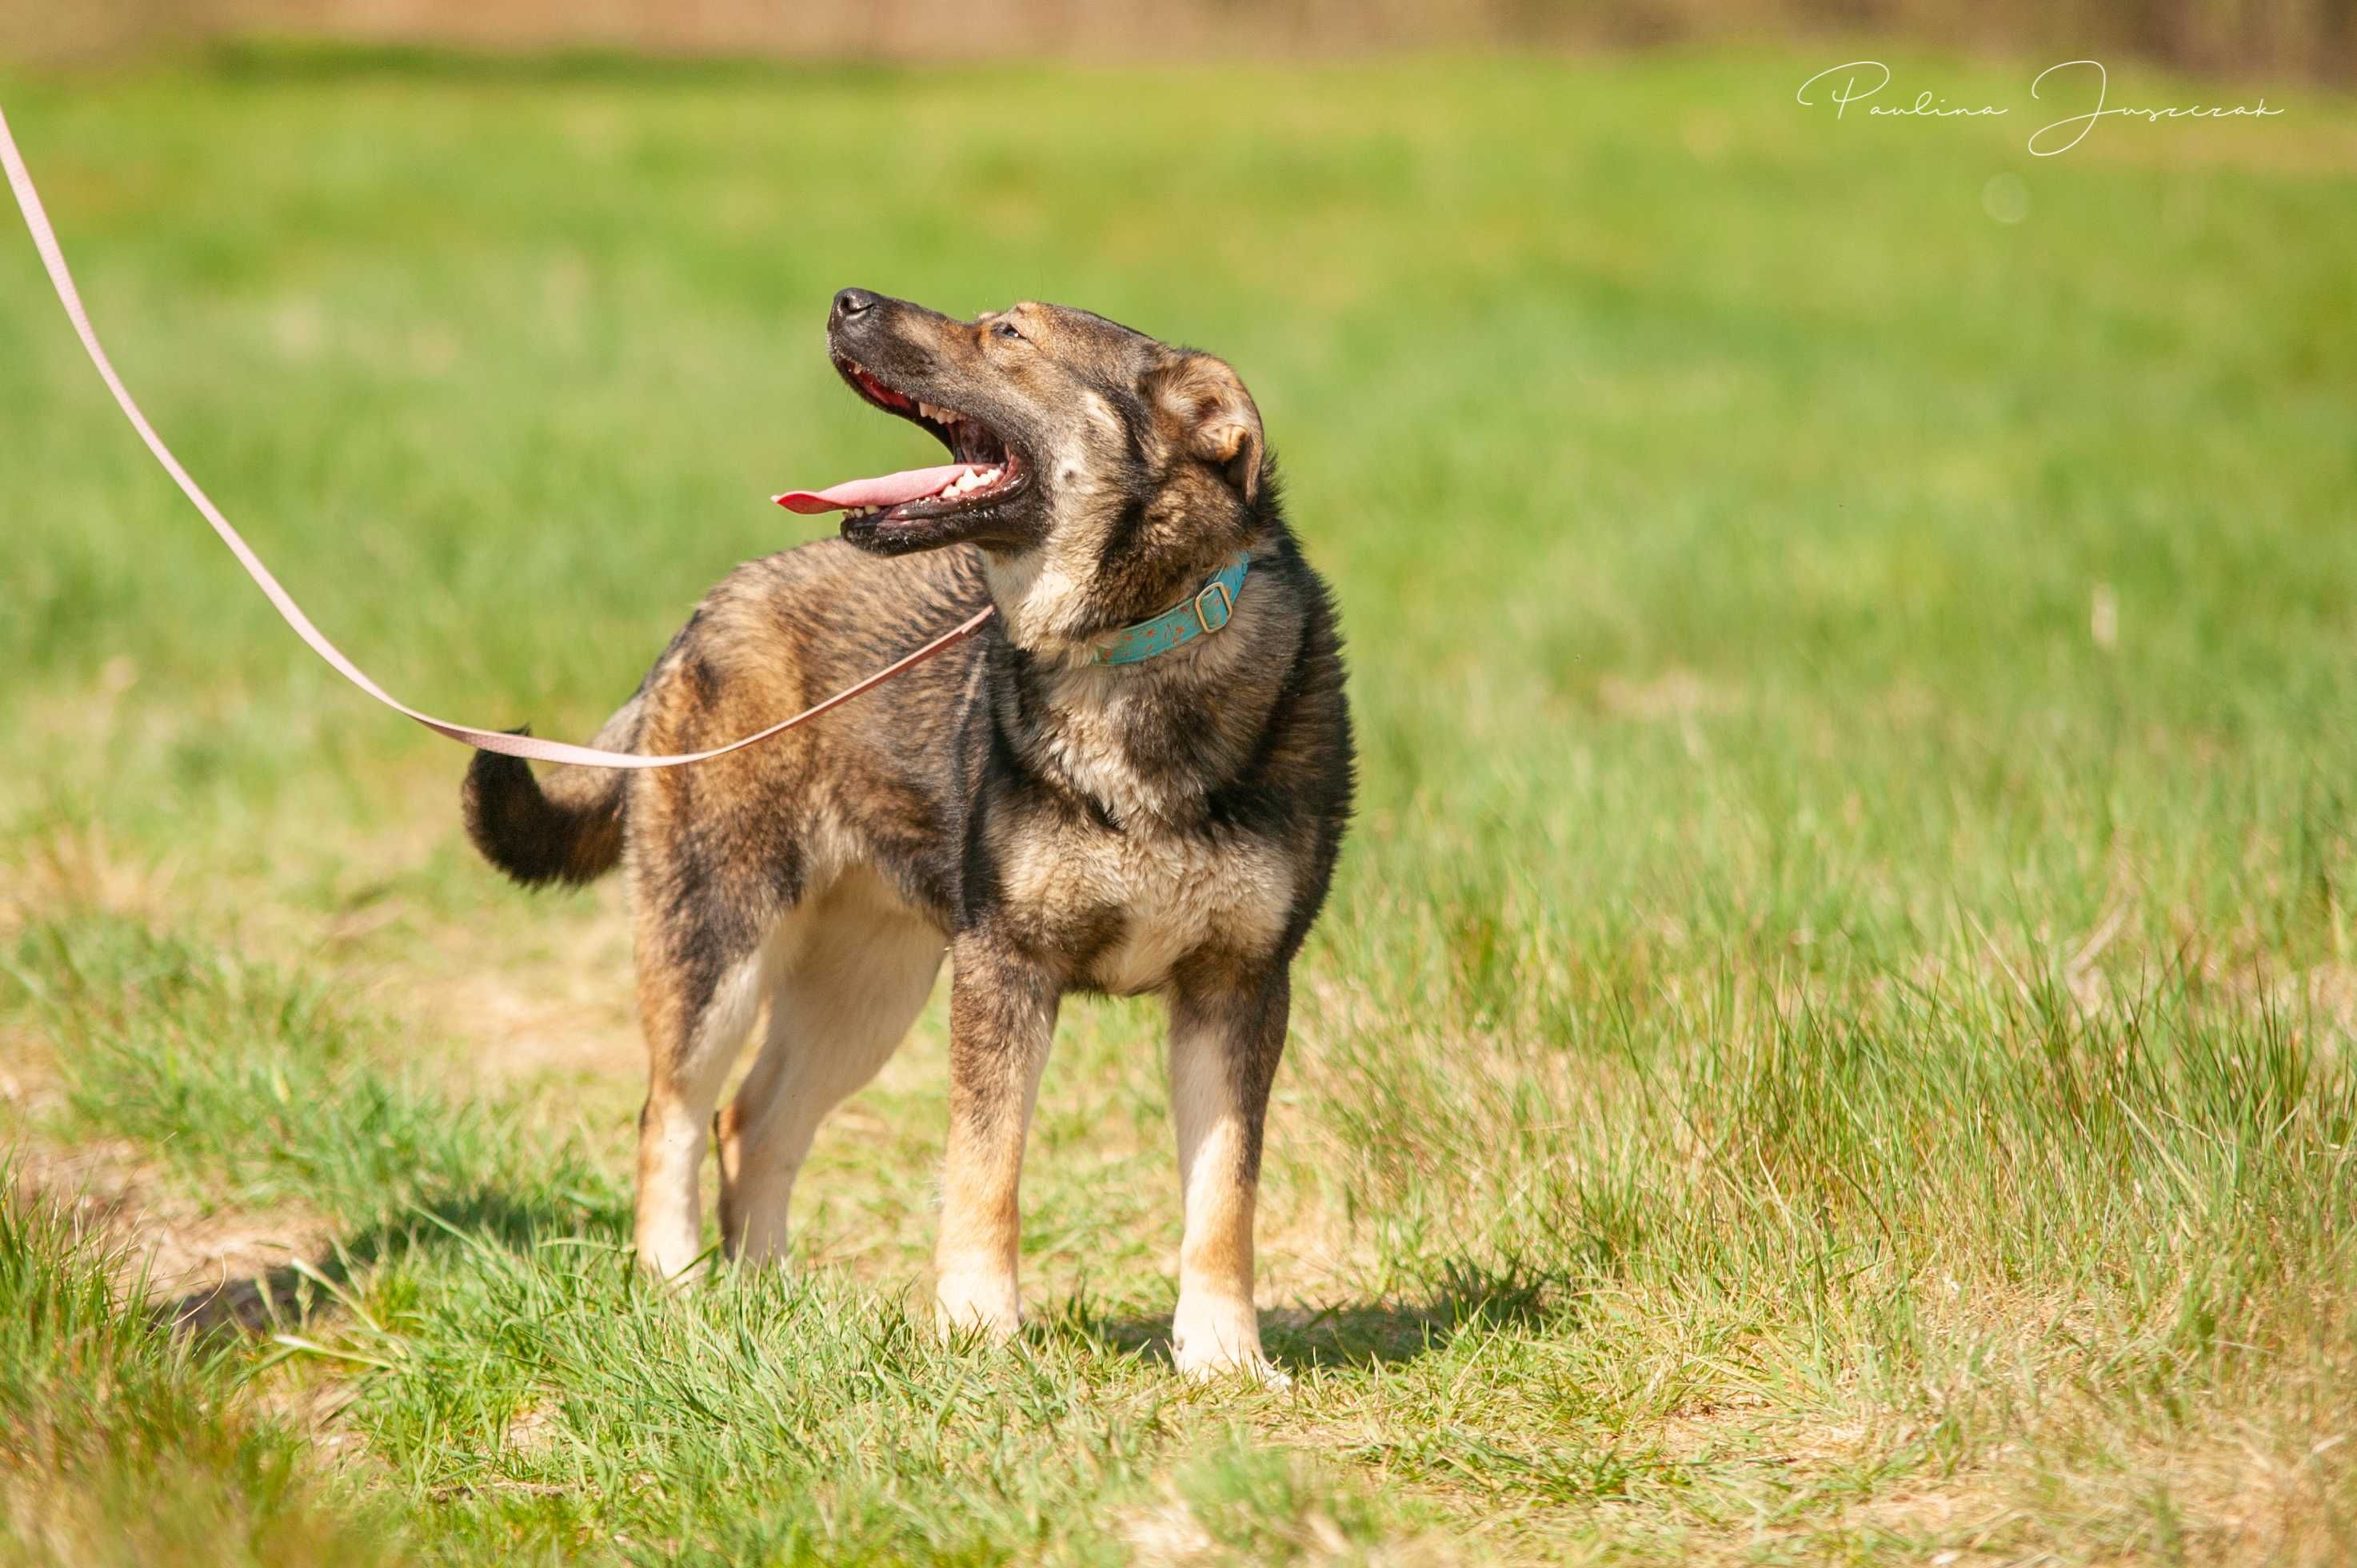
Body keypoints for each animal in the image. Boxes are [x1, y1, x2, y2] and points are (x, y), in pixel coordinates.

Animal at [461, 289, 1357, 1367]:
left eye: (1007, 334)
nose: (845, 300)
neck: (1128, 646)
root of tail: (711, 607)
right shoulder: (1003, 967)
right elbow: (986, 1167)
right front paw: (978, 1330)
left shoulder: (1239, 984)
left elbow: (1224, 1195)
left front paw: (1224, 1357)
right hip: (722, 942)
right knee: (670, 1113)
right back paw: (675, 1290)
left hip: (869, 986)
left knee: (753, 1120)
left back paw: (768, 1299)